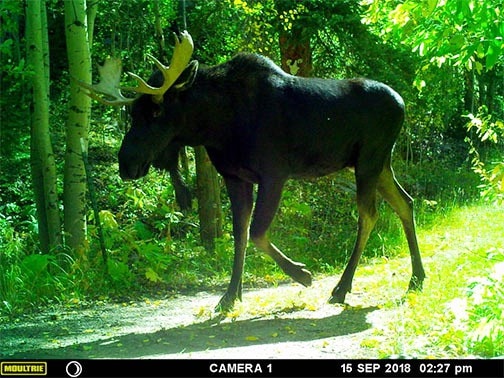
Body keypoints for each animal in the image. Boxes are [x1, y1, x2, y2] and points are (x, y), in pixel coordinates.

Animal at [79, 31, 426, 312]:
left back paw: (341, 288)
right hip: (379, 163)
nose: (125, 164)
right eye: (131, 112)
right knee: (405, 202)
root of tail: (402, 103)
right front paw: (230, 296)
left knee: (369, 214)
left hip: (369, 159)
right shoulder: (235, 177)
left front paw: (302, 274)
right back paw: (417, 277)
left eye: (156, 111)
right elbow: (240, 234)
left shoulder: (274, 174)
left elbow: (257, 232)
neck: (215, 127)